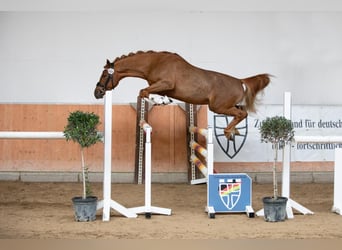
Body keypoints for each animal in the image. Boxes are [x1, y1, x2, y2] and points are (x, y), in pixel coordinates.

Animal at [94, 50, 270, 138]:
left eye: (104, 74)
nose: (97, 92)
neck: (153, 63)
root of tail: (240, 81)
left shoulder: (166, 83)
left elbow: (143, 91)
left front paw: (161, 101)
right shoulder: (161, 87)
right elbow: (148, 92)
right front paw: (163, 100)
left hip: (218, 107)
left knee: (242, 114)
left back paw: (228, 133)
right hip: (226, 106)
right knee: (242, 112)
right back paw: (234, 131)